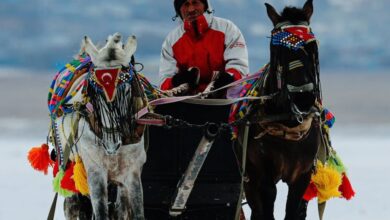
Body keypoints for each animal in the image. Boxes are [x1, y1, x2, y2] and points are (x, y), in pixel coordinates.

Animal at [58, 33, 148, 220]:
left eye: (126, 90)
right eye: (95, 92)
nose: (111, 145)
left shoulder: (132, 172)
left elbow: (135, 213)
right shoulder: (95, 171)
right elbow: (100, 212)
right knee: (73, 206)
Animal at [241, 0, 322, 219]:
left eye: (312, 47)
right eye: (277, 49)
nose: (303, 97)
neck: (288, 123)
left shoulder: (302, 176)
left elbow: (294, 208)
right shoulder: (263, 174)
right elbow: (267, 204)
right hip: (249, 177)